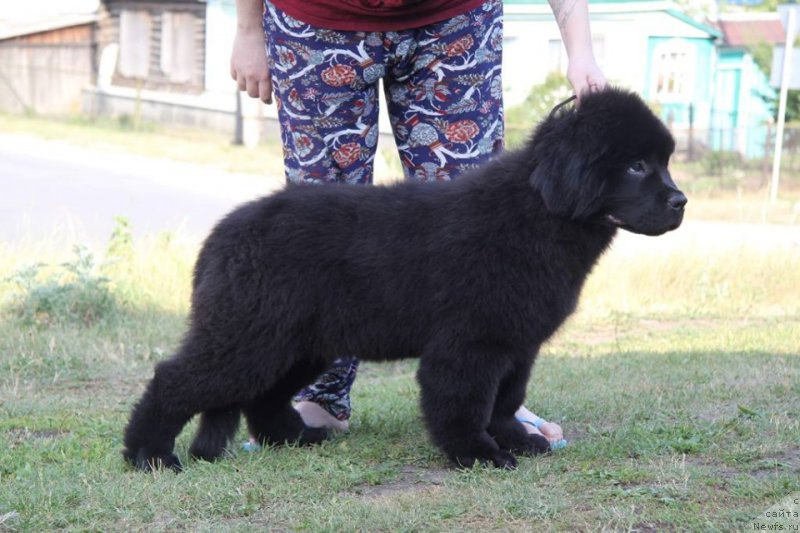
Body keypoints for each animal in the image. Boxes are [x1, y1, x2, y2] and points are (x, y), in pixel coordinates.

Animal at [125, 87, 688, 470]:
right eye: (637, 166)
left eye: (664, 163)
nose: (681, 202)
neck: (540, 214)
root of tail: (220, 237)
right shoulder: (469, 343)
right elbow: (464, 403)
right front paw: (477, 455)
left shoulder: (516, 344)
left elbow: (505, 400)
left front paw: (516, 440)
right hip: (250, 336)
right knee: (175, 379)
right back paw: (148, 456)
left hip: (296, 342)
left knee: (264, 397)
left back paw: (295, 438)